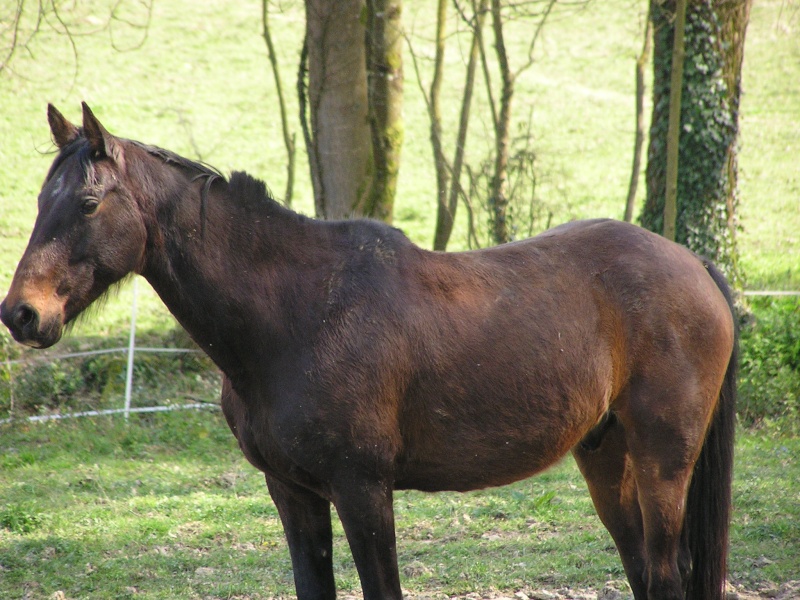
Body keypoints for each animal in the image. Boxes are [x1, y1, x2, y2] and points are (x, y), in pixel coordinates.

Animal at [0, 104, 736, 600]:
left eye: (88, 201)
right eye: (39, 200)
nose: (21, 313)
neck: (297, 315)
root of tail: (694, 264)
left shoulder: (362, 489)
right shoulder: (293, 492)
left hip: (663, 460)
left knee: (665, 573)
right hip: (604, 454)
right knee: (643, 570)